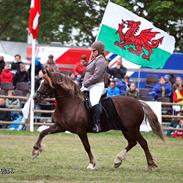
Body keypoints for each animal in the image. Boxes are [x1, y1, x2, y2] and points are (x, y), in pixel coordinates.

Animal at [32, 71, 164, 170]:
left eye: (46, 84)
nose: (35, 97)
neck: (70, 103)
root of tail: (138, 102)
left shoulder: (81, 131)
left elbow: (87, 147)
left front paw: (92, 164)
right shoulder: (60, 127)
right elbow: (43, 133)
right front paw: (35, 151)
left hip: (133, 129)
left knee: (143, 143)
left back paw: (151, 165)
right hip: (126, 130)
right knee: (133, 143)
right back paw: (118, 161)